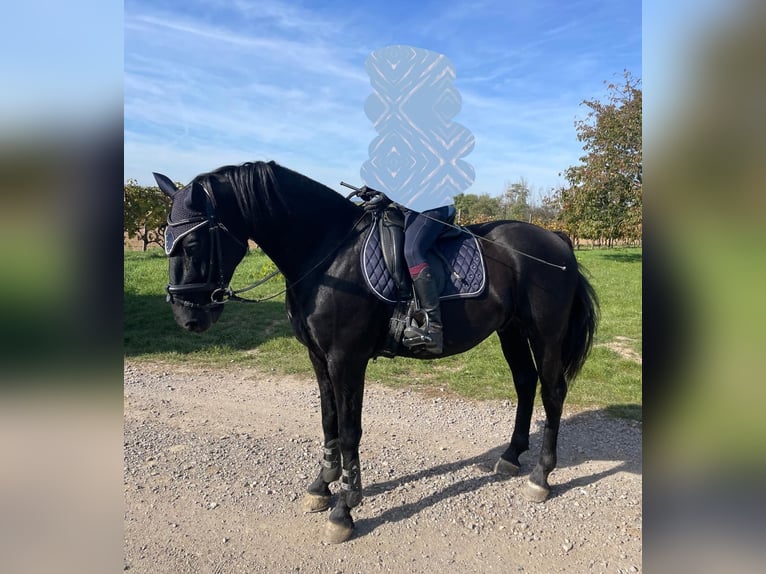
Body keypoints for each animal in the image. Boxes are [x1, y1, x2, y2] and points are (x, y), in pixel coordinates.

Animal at [153, 160, 599, 544]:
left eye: (193, 243)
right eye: (166, 240)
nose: (187, 316)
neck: (328, 253)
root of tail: (556, 239)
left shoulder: (346, 358)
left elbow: (350, 430)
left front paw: (344, 510)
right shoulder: (319, 358)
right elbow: (328, 421)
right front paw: (322, 486)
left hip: (545, 333)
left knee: (552, 392)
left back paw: (540, 476)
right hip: (511, 330)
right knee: (525, 383)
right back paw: (510, 456)